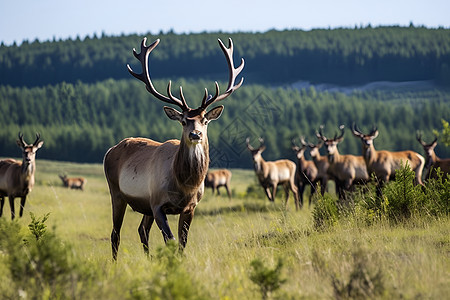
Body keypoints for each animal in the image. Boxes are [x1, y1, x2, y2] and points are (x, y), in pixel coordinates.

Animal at [103, 37, 244, 258]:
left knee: (142, 230)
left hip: (144, 205)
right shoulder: (157, 203)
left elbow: (182, 243)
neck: (185, 185)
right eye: (184, 120)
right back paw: (115, 262)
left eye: (204, 120)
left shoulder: (190, 207)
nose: (195, 135)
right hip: (116, 192)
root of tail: (110, 150)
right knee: (115, 233)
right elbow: (170, 240)